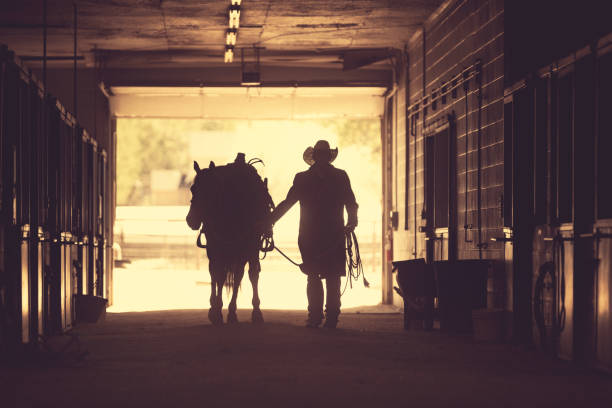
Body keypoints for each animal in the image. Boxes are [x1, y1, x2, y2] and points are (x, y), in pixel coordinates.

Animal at [185, 153, 274, 326]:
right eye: (193, 188)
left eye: (211, 190)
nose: (191, 220)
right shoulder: (215, 248)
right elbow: (217, 275)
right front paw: (216, 311)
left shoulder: (247, 248)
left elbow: (247, 275)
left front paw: (245, 312)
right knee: (219, 274)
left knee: (243, 274)